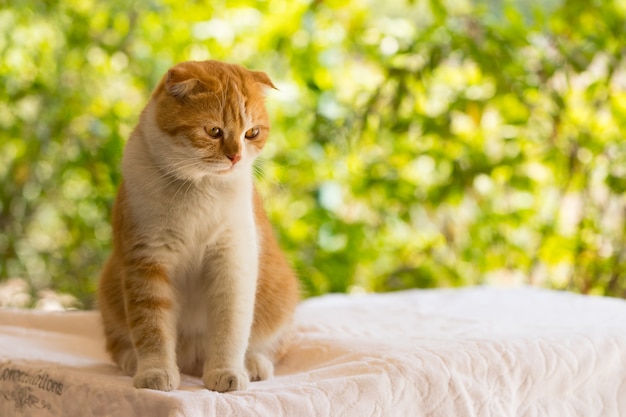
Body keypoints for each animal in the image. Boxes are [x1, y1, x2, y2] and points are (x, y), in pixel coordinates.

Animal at [97, 60, 300, 392]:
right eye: (213, 131)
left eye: (252, 133)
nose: (236, 156)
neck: (198, 190)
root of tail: (192, 359)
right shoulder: (147, 262)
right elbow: (151, 328)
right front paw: (155, 372)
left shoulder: (232, 262)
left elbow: (231, 328)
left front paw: (226, 372)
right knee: (118, 344)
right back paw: (131, 361)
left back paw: (254, 364)